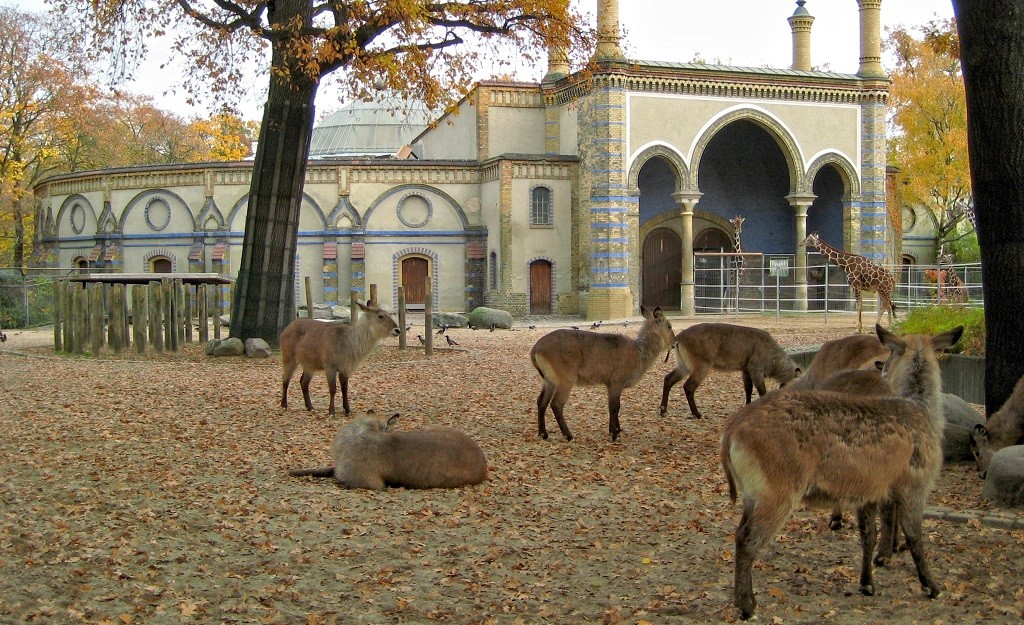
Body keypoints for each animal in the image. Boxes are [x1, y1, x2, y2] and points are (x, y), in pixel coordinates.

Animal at [532, 303, 675, 440]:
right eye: (669, 326)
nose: (674, 343)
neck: (639, 353)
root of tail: (535, 349)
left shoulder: (610, 384)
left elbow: (615, 406)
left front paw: (616, 429)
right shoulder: (616, 382)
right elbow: (614, 407)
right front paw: (614, 433)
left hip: (549, 381)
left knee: (541, 402)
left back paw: (543, 434)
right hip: (565, 380)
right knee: (556, 404)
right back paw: (568, 435)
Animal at [663, 321, 798, 418]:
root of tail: (678, 337)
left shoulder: (746, 371)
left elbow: (748, 390)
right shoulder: (756, 370)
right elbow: (762, 392)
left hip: (683, 365)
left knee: (668, 379)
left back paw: (663, 411)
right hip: (702, 365)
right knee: (688, 386)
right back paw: (697, 414)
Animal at [720, 323, 958, 614]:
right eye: (891, 352)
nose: (881, 367)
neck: (925, 414)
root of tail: (730, 433)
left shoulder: (870, 489)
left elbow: (868, 534)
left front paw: (866, 583)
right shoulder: (916, 483)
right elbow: (914, 536)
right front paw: (931, 586)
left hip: (752, 493)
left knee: (738, 532)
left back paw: (745, 598)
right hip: (777, 490)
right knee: (747, 539)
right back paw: (747, 605)